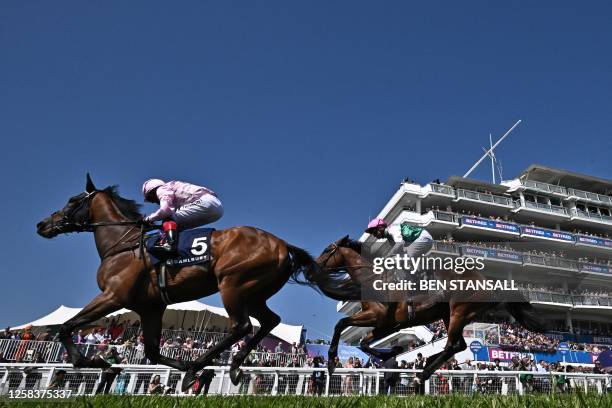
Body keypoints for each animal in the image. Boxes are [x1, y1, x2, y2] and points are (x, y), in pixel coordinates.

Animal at [35, 174, 350, 390]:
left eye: (73, 201)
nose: (42, 225)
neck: (122, 244)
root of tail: (283, 245)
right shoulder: (150, 308)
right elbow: (152, 351)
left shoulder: (113, 296)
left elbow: (66, 327)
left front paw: (93, 361)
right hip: (255, 292)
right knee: (269, 321)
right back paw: (229, 367)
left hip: (232, 284)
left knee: (242, 326)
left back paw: (200, 366)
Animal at [316, 236, 544, 382]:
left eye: (327, 250)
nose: (315, 266)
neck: (371, 279)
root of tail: (489, 283)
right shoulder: (385, 325)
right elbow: (363, 343)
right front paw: (391, 352)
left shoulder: (378, 317)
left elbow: (341, 323)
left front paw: (331, 361)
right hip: (448, 314)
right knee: (458, 344)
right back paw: (428, 365)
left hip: (459, 310)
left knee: (452, 345)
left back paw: (423, 373)